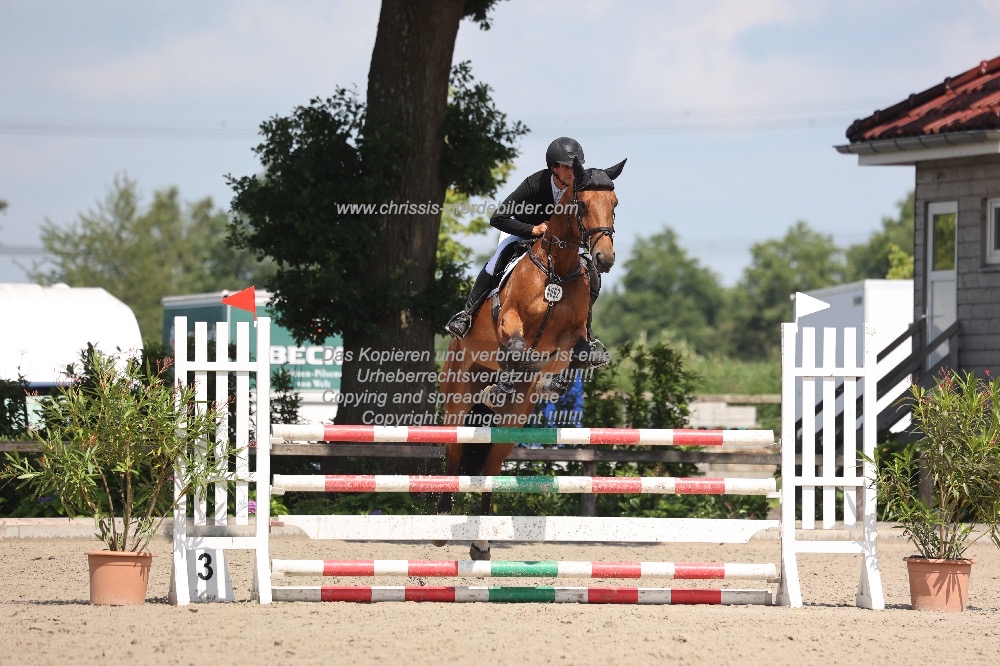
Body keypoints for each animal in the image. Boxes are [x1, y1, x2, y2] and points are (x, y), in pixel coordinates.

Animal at [432, 158, 620, 556]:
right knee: (454, 461)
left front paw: (554, 382)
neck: (557, 269)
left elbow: (577, 355)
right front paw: (516, 374)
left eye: (614, 204)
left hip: (510, 425)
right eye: (582, 206)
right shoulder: (509, 321)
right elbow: (518, 349)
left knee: (488, 470)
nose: (604, 258)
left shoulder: (573, 335)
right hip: (457, 403)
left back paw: (481, 544)